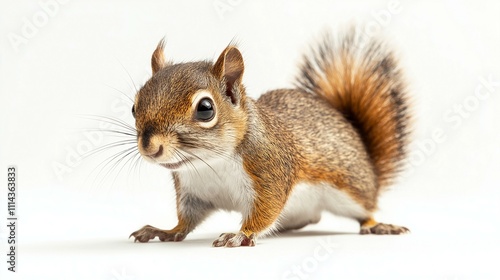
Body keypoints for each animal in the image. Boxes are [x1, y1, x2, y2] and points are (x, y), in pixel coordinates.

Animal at [129, 29, 410, 246]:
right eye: (134, 107)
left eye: (205, 109)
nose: (149, 147)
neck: (211, 163)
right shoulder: (192, 191)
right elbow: (186, 219)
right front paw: (165, 231)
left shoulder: (270, 172)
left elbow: (265, 210)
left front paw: (240, 235)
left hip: (352, 191)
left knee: (366, 210)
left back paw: (377, 225)